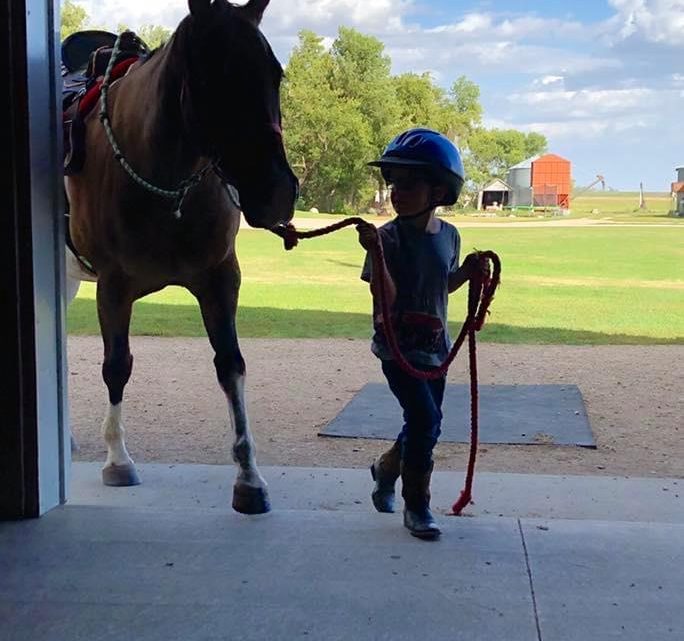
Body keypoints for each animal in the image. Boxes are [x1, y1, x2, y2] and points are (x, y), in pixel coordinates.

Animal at [65, 0, 298, 512]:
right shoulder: (113, 287)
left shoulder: (219, 279)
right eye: (213, 76)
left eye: (275, 74)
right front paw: (118, 459)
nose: (276, 191)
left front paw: (249, 476)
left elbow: (231, 365)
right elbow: (117, 365)